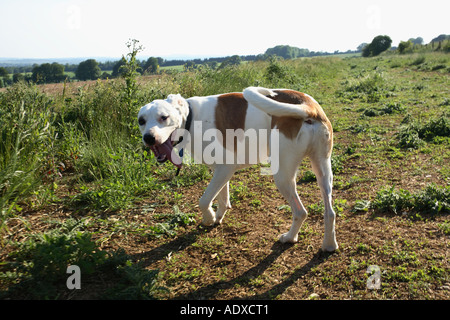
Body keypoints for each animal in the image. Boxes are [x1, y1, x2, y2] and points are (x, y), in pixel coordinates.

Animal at [137, 87, 338, 252]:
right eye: (141, 121)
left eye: (164, 117)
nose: (148, 138)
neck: (191, 118)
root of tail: (309, 106)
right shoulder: (221, 171)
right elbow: (222, 197)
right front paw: (218, 216)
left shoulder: (226, 168)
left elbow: (204, 201)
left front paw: (209, 218)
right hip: (323, 171)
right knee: (330, 212)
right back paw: (329, 245)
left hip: (283, 177)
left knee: (300, 212)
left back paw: (289, 238)